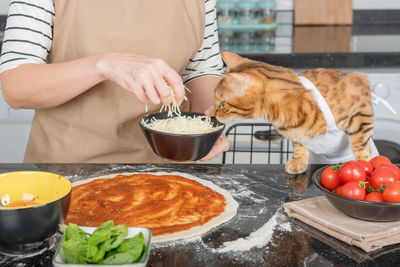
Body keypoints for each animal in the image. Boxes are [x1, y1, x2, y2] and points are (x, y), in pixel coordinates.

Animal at [214, 51, 376, 175]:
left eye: (222, 103)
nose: (213, 114)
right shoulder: (297, 132)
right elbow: (299, 145)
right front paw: (299, 162)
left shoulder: (360, 104)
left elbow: (360, 145)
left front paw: (363, 165)